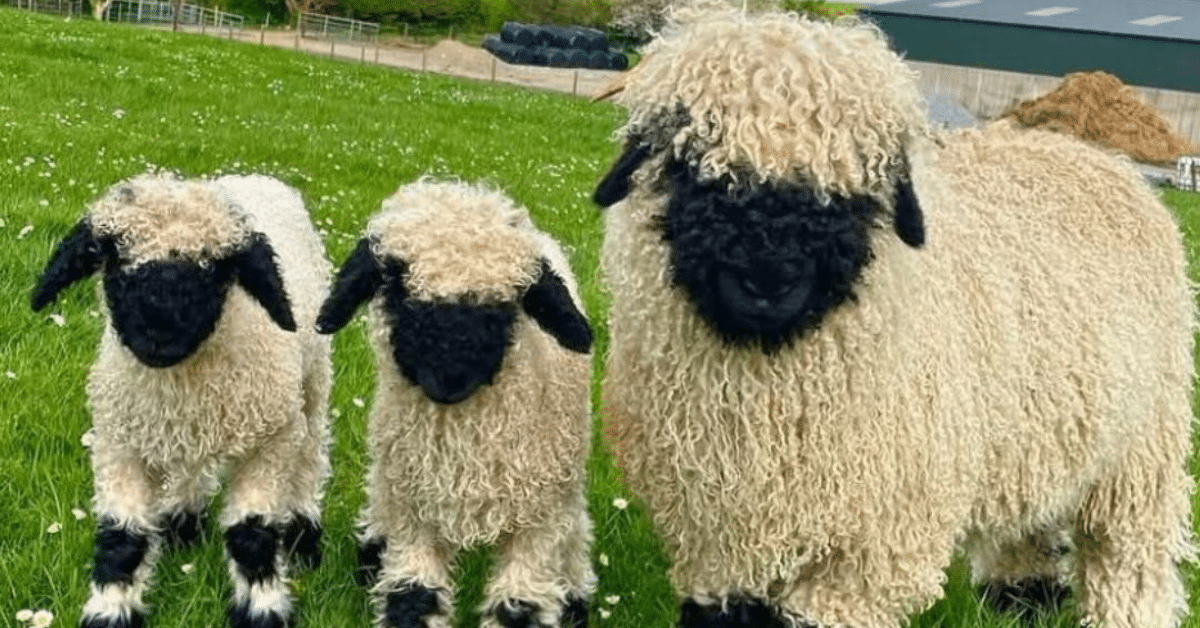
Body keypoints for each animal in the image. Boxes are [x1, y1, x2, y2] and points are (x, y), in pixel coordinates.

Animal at [30, 174, 332, 628]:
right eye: (114, 259)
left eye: (215, 268)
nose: (159, 335)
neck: (181, 380)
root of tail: (254, 176)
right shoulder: (120, 441)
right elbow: (122, 536)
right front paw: (110, 610)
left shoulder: (271, 440)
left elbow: (251, 535)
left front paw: (262, 609)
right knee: (190, 467)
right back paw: (181, 525)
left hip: (313, 385)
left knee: (311, 455)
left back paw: (302, 534)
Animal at [315, 180, 596, 628]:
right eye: (398, 288)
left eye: (504, 305)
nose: (448, 382)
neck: (465, 450)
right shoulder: (414, 511)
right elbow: (412, 596)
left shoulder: (537, 522)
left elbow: (519, 607)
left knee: (575, 532)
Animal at [592, 7, 1196, 628]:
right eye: (690, 164)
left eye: (855, 189)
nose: (767, 279)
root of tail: (1100, 157)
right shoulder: (716, 544)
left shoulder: (874, 549)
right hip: (1043, 428)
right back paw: (1021, 595)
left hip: (1144, 442)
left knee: (1130, 551)